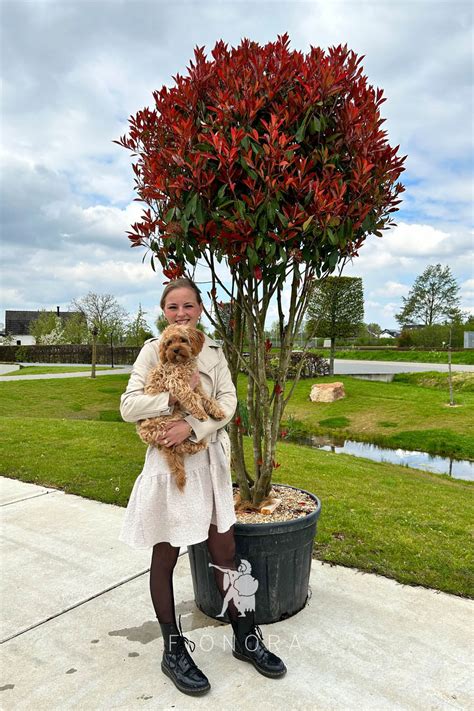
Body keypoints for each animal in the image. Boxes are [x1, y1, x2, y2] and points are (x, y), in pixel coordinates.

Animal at [137, 326, 226, 492]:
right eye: (169, 343)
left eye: (183, 339)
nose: (176, 349)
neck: (182, 363)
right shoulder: (176, 382)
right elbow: (190, 396)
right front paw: (200, 413)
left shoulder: (197, 386)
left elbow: (207, 399)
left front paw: (217, 412)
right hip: (168, 421)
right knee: (178, 447)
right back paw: (196, 444)